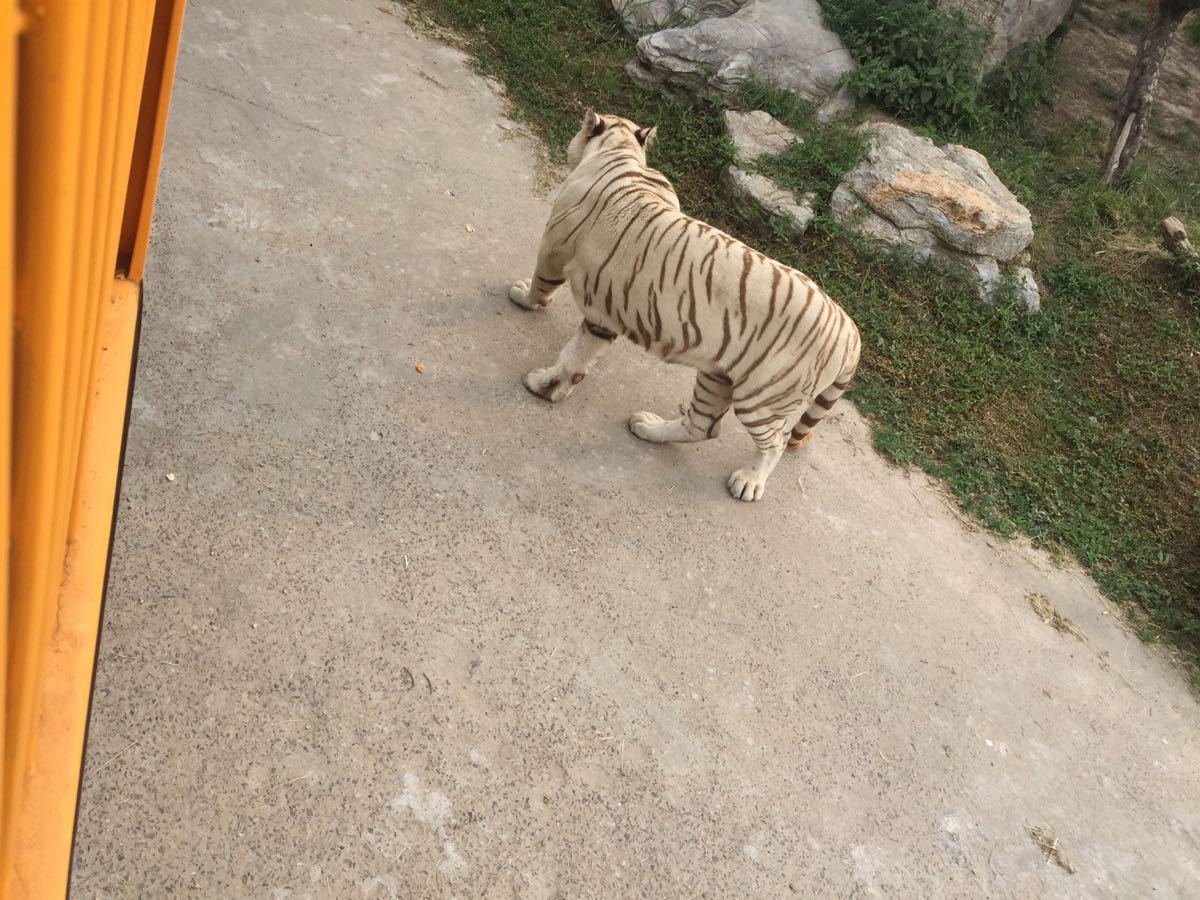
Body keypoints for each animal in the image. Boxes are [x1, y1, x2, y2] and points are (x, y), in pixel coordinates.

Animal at [511, 110, 859, 504]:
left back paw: (749, 481)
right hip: (717, 376)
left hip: (763, 400)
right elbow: (579, 355)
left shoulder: (554, 249)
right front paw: (552, 387)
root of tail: (850, 329)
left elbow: (543, 286)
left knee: (775, 443)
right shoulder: (606, 310)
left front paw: (523, 299)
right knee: (702, 427)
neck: (622, 152)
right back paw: (647, 428)